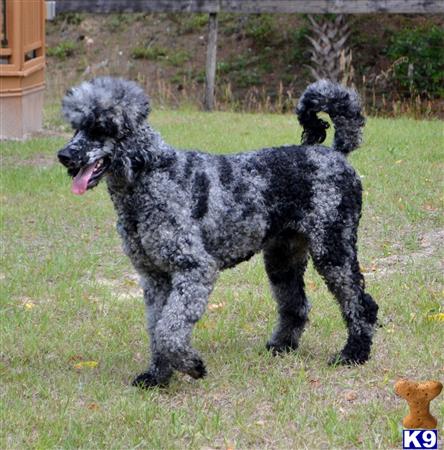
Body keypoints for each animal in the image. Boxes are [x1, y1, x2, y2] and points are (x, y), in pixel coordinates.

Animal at [57, 76, 378, 386]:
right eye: (76, 128)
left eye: (101, 127)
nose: (64, 155)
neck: (151, 175)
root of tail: (335, 153)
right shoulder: (154, 277)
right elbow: (157, 328)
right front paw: (157, 376)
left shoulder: (194, 269)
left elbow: (169, 330)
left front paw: (191, 365)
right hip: (282, 258)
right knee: (295, 304)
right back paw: (281, 346)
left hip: (333, 249)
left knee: (360, 303)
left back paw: (354, 353)